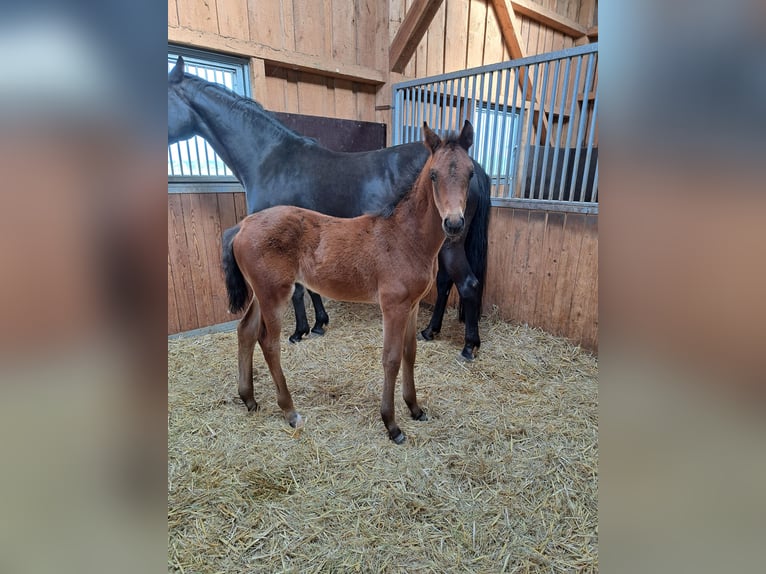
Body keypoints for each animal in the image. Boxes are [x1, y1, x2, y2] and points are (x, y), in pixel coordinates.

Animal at [168, 56, 491, 360]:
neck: (271, 160)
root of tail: (475, 166)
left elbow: (300, 291)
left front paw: (299, 331)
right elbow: (310, 286)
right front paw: (319, 323)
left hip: (451, 241)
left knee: (467, 284)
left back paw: (469, 346)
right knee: (446, 282)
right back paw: (430, 331)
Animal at [222, 122, 475, 443]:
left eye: (471, 173)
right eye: (433, 174)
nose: (454, 224)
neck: (406, 237)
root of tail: (243, 225)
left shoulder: (413, 305)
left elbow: (410, 353)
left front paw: (415, 408)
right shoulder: (393, 306)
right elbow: (391, 358)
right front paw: (392, 425)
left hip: (260, 291)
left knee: (246, 330)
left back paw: (249, 399)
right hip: (274, 294)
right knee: (268, 342)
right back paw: (290, 411)